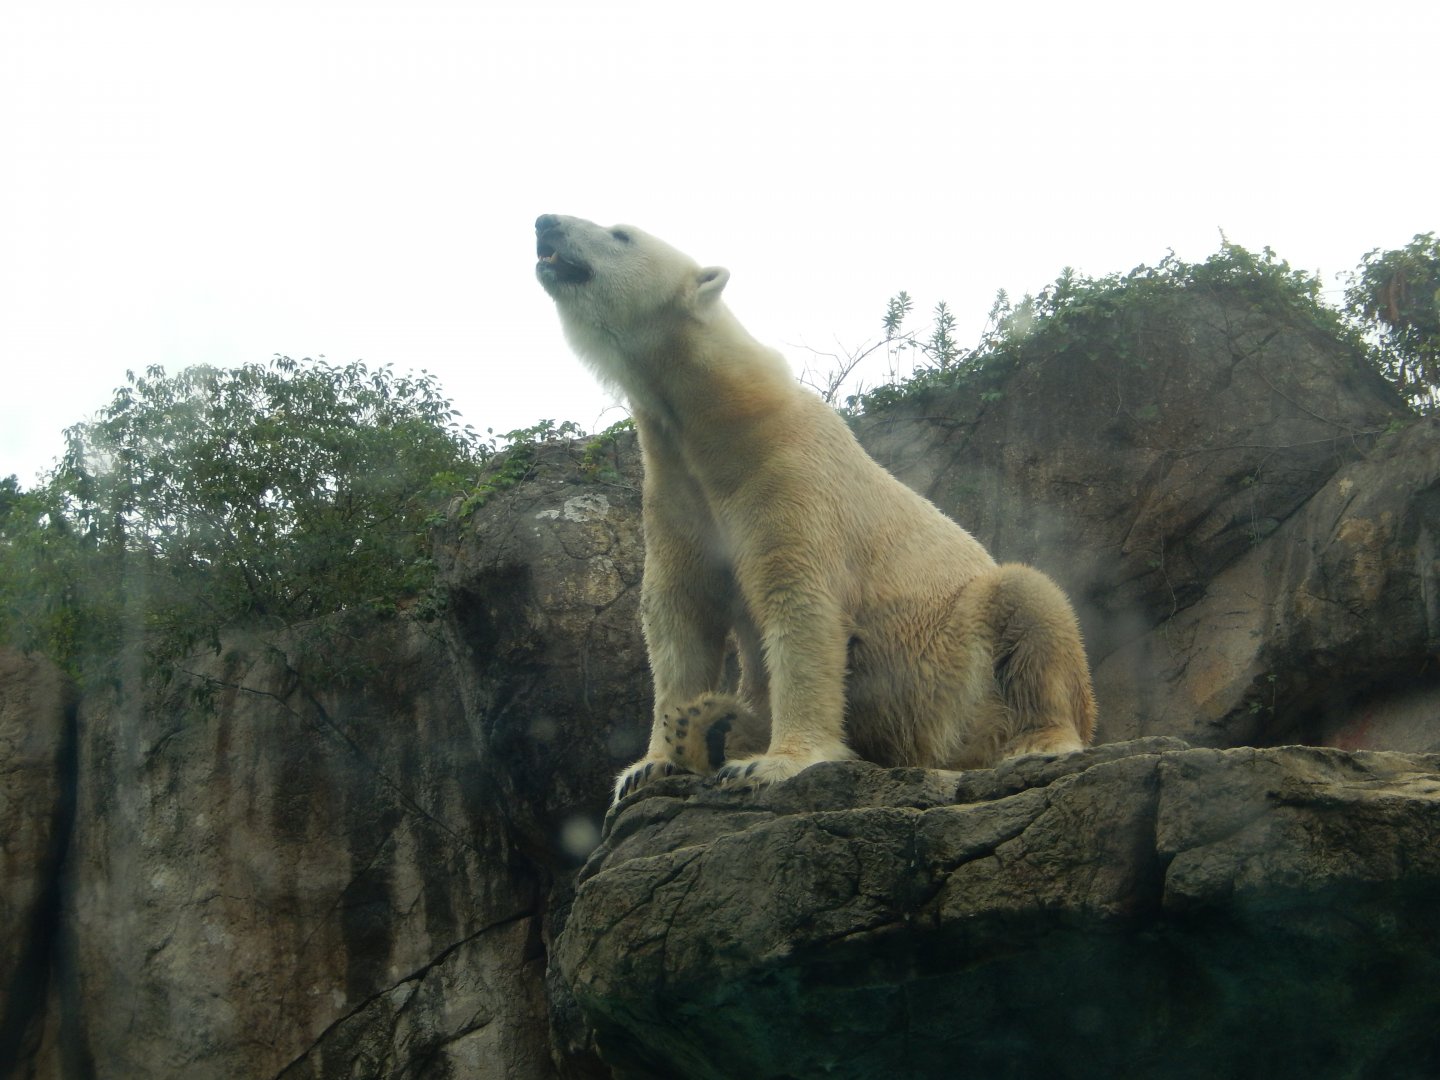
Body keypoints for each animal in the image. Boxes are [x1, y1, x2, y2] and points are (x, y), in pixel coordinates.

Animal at [534, 214, 1096, 803]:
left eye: (620, 235)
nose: (545, 222)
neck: (722, 419)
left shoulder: (791, 477)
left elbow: (800, 606)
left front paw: (775, 762)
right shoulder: (677, 492)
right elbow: (679, 615)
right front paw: (650, 764)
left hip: (963, 670)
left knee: (1029, 602)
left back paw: (1037, 740)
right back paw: (710, 728)